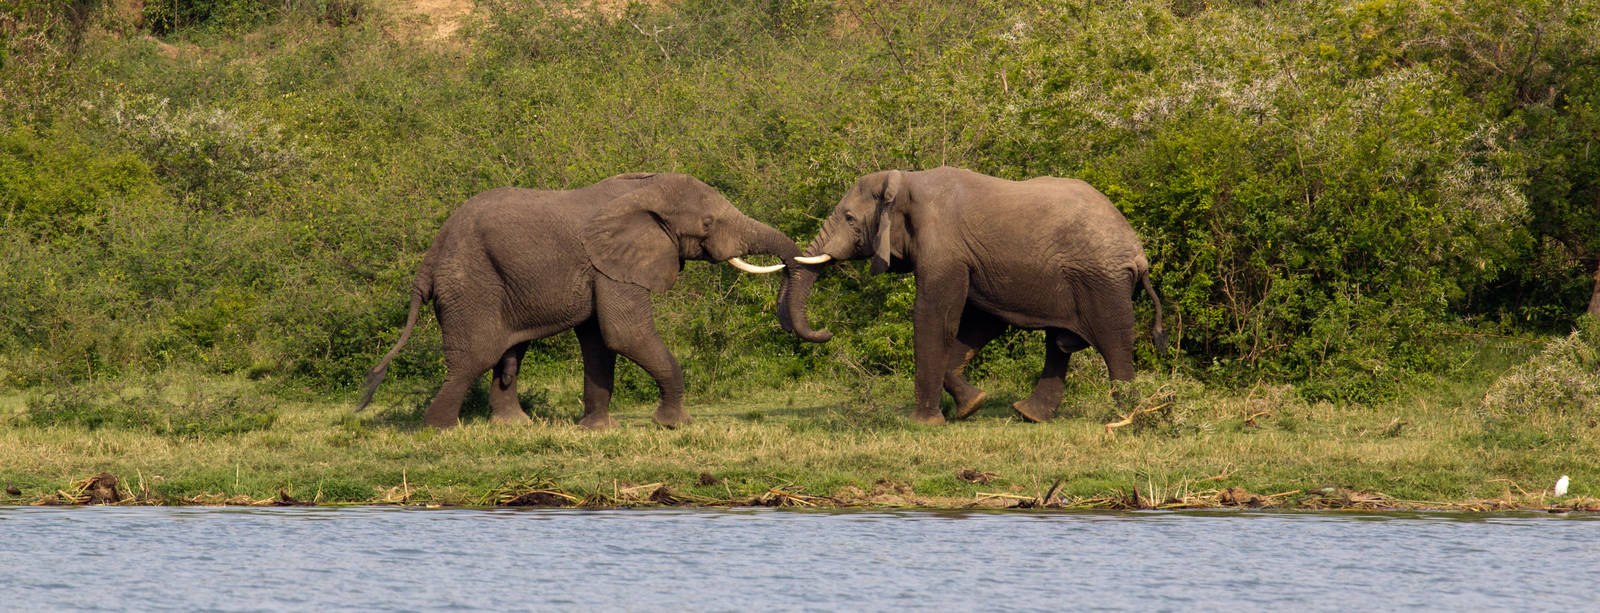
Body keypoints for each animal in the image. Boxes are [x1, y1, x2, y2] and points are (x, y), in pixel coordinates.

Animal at [357, 172, 804, 429]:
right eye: (708, 223)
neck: (642, 193)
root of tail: (429, 260)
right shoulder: (610, 265)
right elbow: (625, 333)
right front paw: (675, 425)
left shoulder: (602, 269)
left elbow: (600, 342)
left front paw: (595, 430)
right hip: (470, 285)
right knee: (476, 355)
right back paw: (440, 429)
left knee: (510, 352)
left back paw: (515, 427)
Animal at [777, 166, 1167, 425]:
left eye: (848, 218)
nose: (826, 332)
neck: (906, 181)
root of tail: (1139, 254)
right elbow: (978, 325)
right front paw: (972, 405)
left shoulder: (944, 248)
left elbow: (935, 317)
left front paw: (923, 424)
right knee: (1059, 345)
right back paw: (1030, 416)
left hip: (1102, 281)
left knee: (1114, 343)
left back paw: (1124, 419)